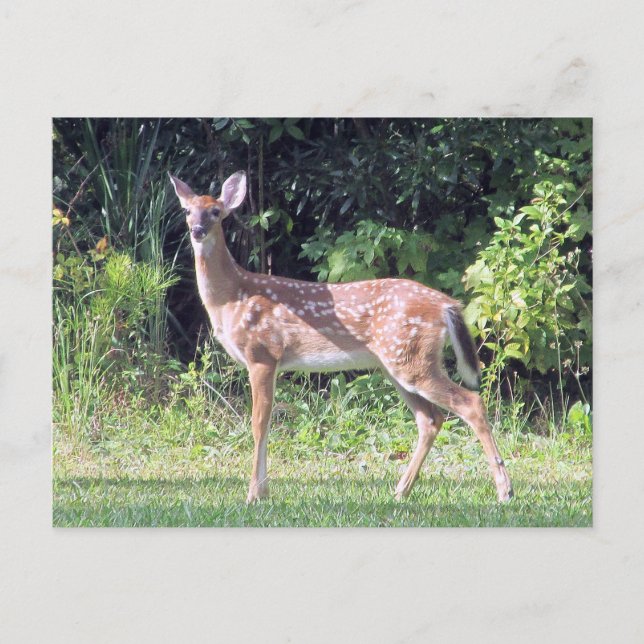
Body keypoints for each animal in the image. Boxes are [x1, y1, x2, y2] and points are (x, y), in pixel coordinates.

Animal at [169, 170, 513, 504]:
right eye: (187, 210)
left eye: (215, 212)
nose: (197, 230)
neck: (231, 298)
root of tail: (446, 305)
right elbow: (264, 423)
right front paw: (262, 492)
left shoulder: (263, 353)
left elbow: (259, 423)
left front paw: (254, 494)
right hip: (399, 363)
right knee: (430, 419)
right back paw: (401, 491)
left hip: (412, 361)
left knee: (470, 403)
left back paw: (504, 490)